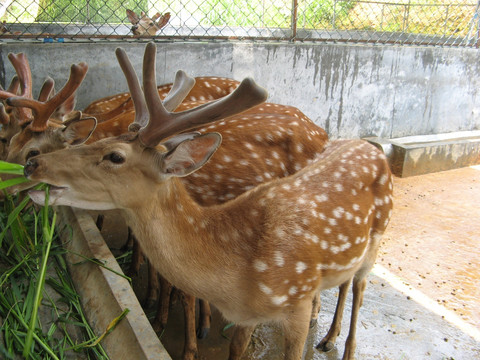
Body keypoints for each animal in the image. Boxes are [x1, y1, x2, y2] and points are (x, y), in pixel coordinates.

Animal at [22, 43, 394, 360]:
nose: (33, 164)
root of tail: (371, 147)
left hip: (376, 241)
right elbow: (235, 350)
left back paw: (338, 343)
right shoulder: (246, 316)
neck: (239, 270)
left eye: (115, 156)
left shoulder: (296, 302)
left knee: (359, 288)